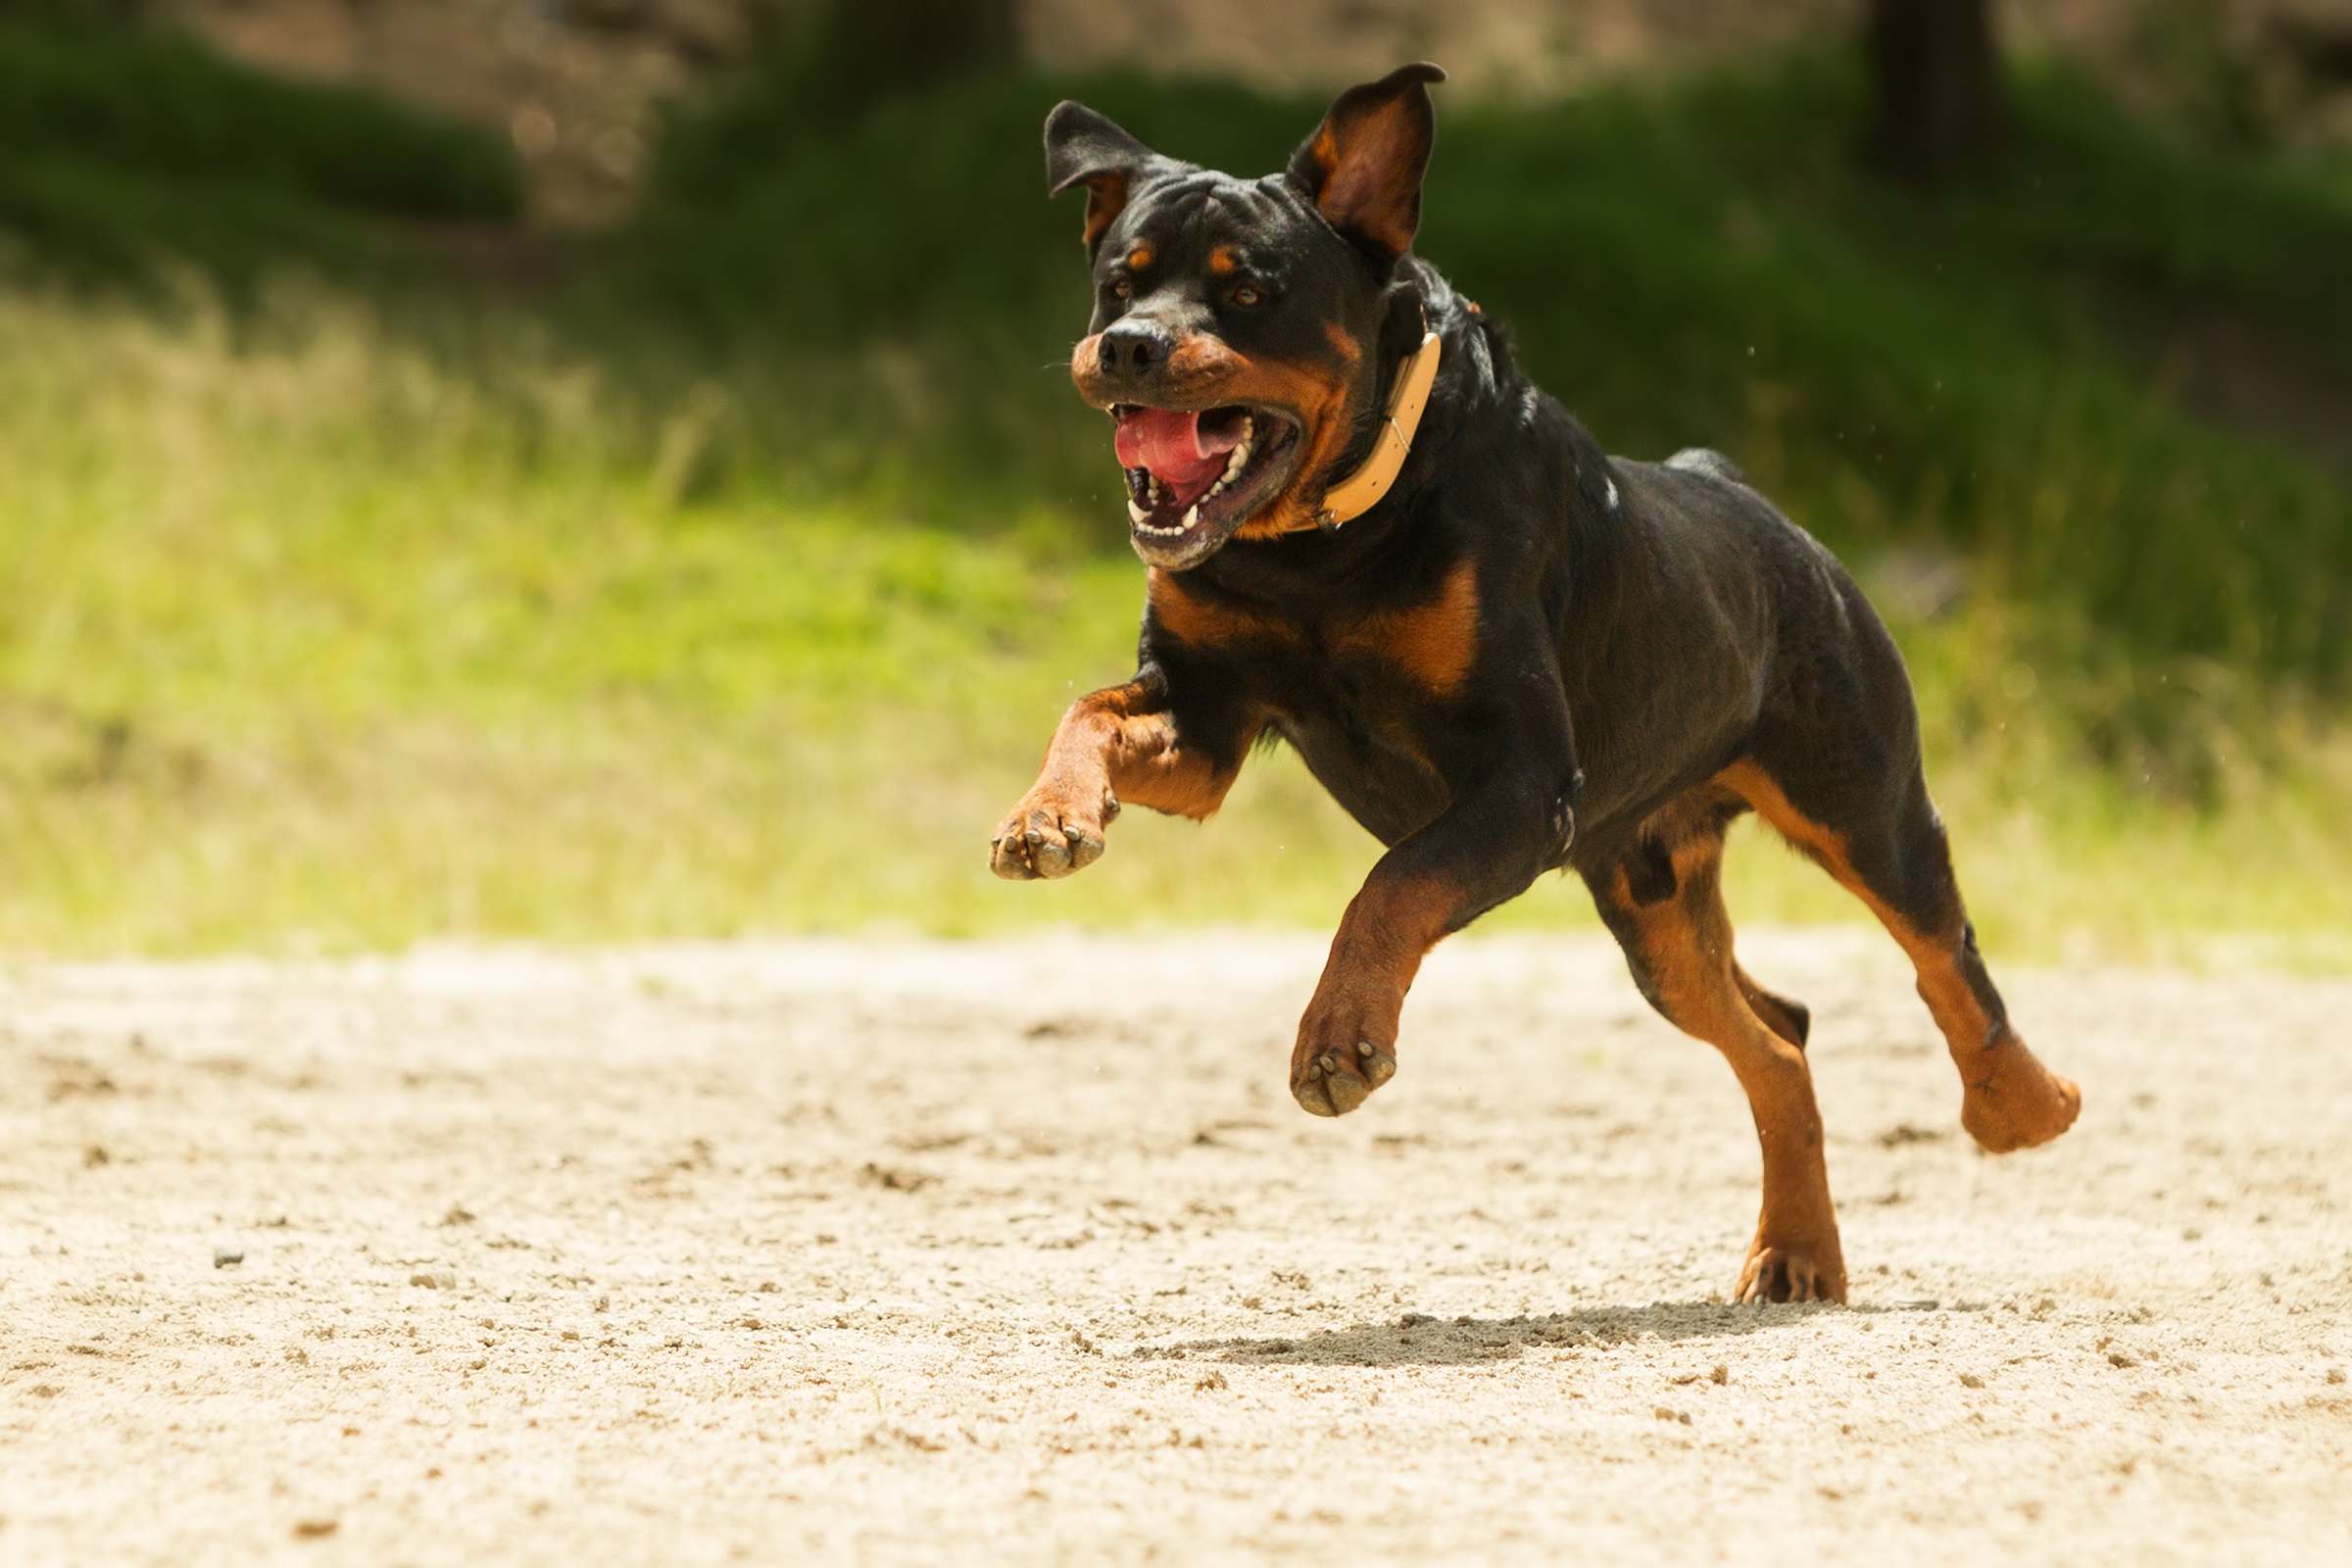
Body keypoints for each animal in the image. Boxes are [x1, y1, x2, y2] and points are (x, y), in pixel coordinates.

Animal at [988, 67, 2079, 1306]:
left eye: (1248, 290)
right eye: (1117, 282)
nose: (1127, 347)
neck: (1324, 544)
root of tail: (1748, 497)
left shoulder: (1521, 779)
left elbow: (1392, 883)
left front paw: (1339, 1035)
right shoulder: (1205, 715)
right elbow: (1088, 712)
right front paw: (1049, 817)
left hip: (1861, 797)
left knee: (1948, 958)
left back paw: (2021, 1105)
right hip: (1653, 908)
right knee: (1779, 1037)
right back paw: (1798, 1250)